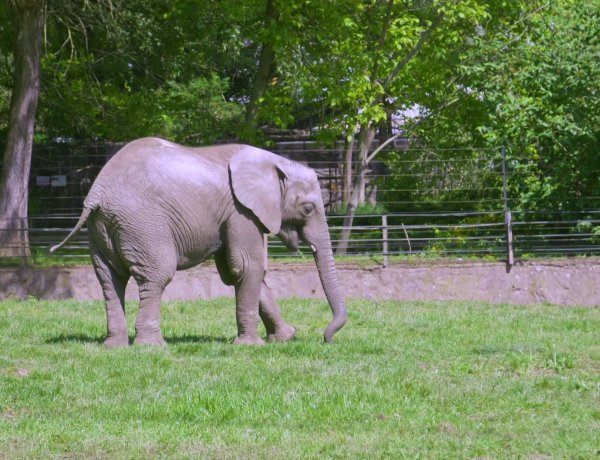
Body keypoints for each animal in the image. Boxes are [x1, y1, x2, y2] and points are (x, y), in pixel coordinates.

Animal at [51, 138, 346, 346]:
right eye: (307, 209)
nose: (326, 339)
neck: (274, 161)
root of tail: (96, 193)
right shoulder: (241, 211)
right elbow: (248, 267)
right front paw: (251, 346)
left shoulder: (232, 215)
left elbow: (236, 272)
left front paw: (285, 338)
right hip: (142, 223)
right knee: (156, 276)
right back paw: (153, 346)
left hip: (101, 228)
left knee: (109, 280)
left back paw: (114, 346)